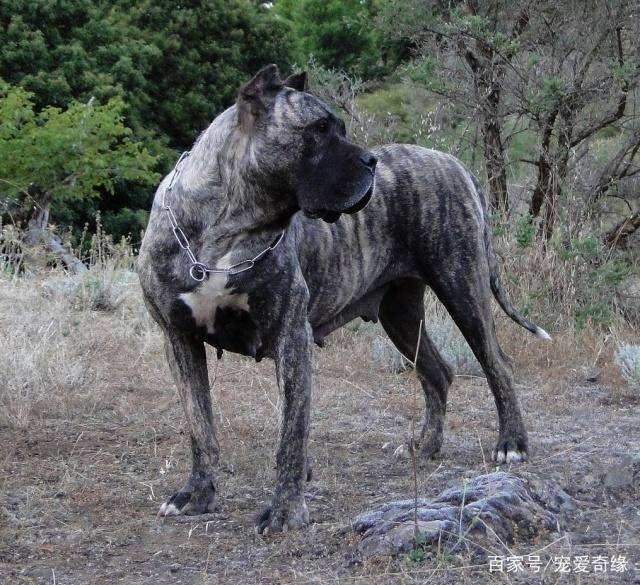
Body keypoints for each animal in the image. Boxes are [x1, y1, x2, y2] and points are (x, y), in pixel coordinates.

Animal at [138, 65, 548, 532]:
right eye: (318, 130)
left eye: (341, 129)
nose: (370, 160)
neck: (226, 230)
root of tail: (452, 161)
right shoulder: (180, 340)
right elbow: (200, 425)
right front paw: (197, 494)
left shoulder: (290, 336)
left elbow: (291, 433)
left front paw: (285, 510)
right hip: (401, 315)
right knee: (438, 372)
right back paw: (425, 446)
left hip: (463, 288)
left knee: (497, 363)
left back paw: (511, 444)